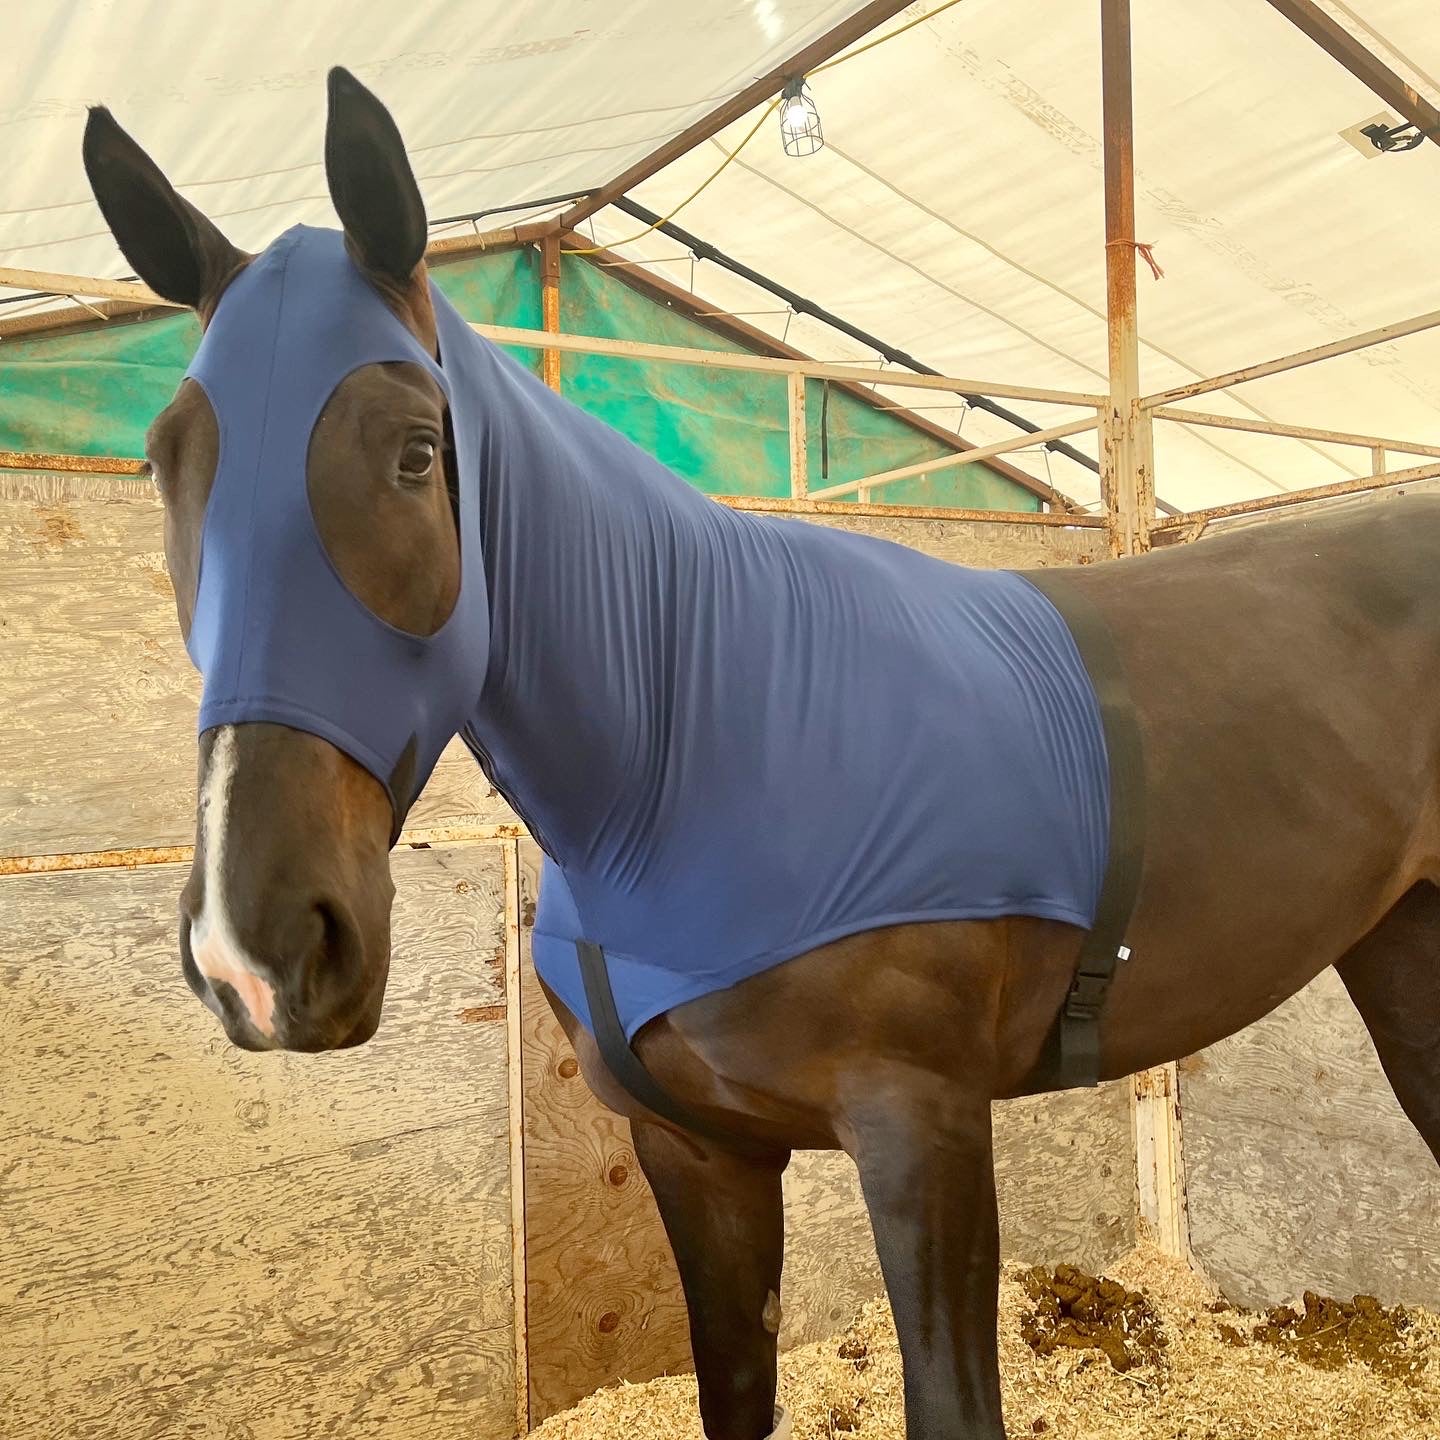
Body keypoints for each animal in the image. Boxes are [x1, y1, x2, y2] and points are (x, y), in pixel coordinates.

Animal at [81, 68, 1440, 1440]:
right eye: (164, 460)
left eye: (416, 448)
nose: (255, 952)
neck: (688, 755)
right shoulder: (699, 1152)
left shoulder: (924, 1131)